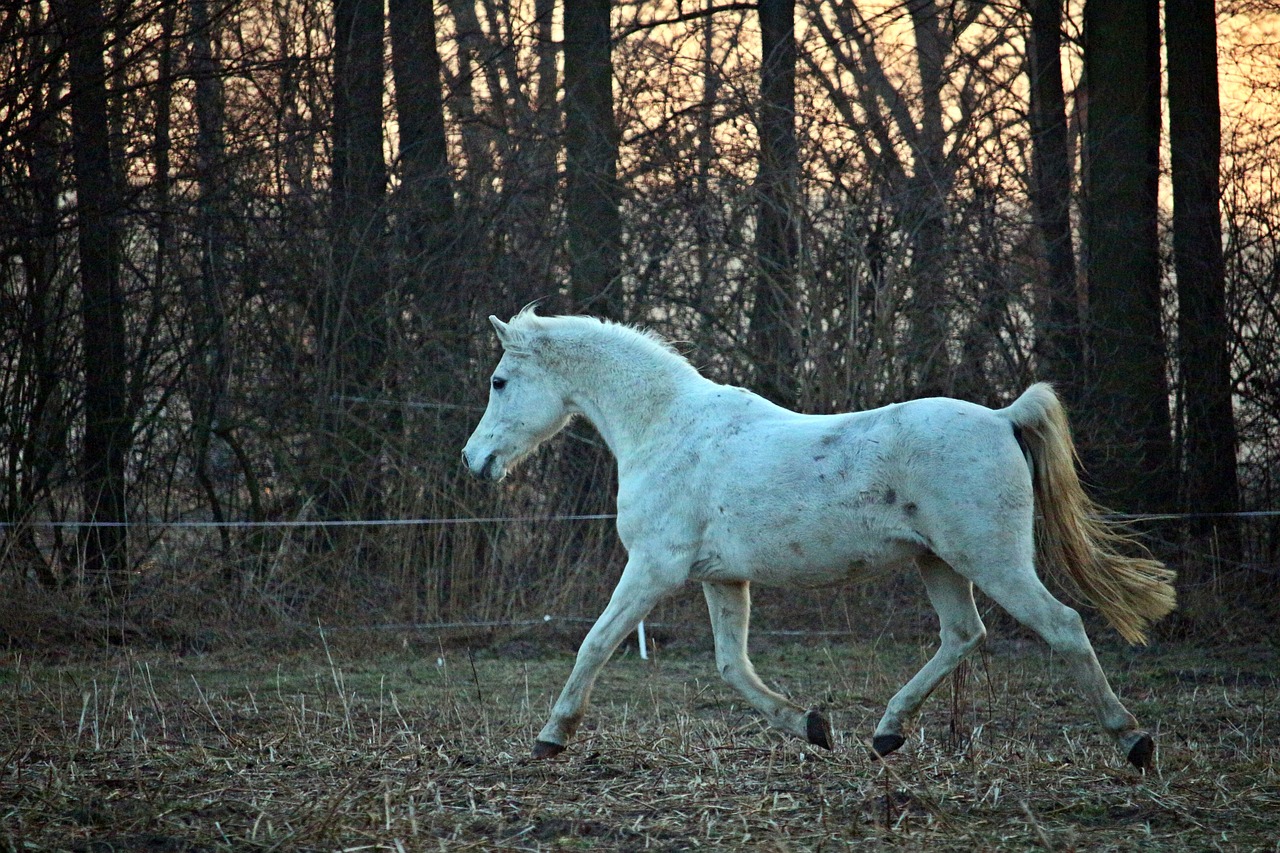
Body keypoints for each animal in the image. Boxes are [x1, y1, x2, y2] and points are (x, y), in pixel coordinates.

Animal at [465, 308, 1172, 768]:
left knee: (1063, 626)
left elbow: (594, 643)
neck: (669, 429)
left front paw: (551, 737)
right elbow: (732, 666)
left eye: (499, 382)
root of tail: (1003, 418)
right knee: (963, 635)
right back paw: (886, 734)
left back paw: (1133, 741)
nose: (474, 460)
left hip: (992, 560)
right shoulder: (723, 578)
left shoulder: (652, 570)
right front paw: (811, 726)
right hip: (940, 563)